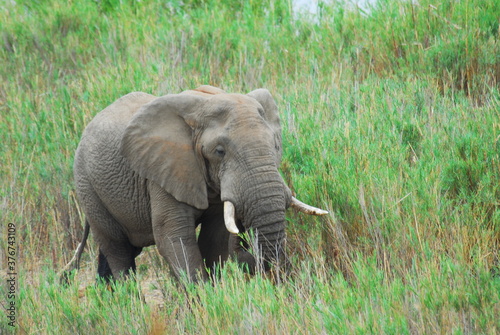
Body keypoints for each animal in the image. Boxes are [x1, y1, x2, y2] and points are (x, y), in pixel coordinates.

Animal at [62, 84, 328, 284]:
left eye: (275, 145)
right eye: (219, 151)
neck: (207, 101)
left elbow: (215, 239)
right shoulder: (163, 170)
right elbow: (174, 238)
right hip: (88, 186)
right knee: (118, 250)